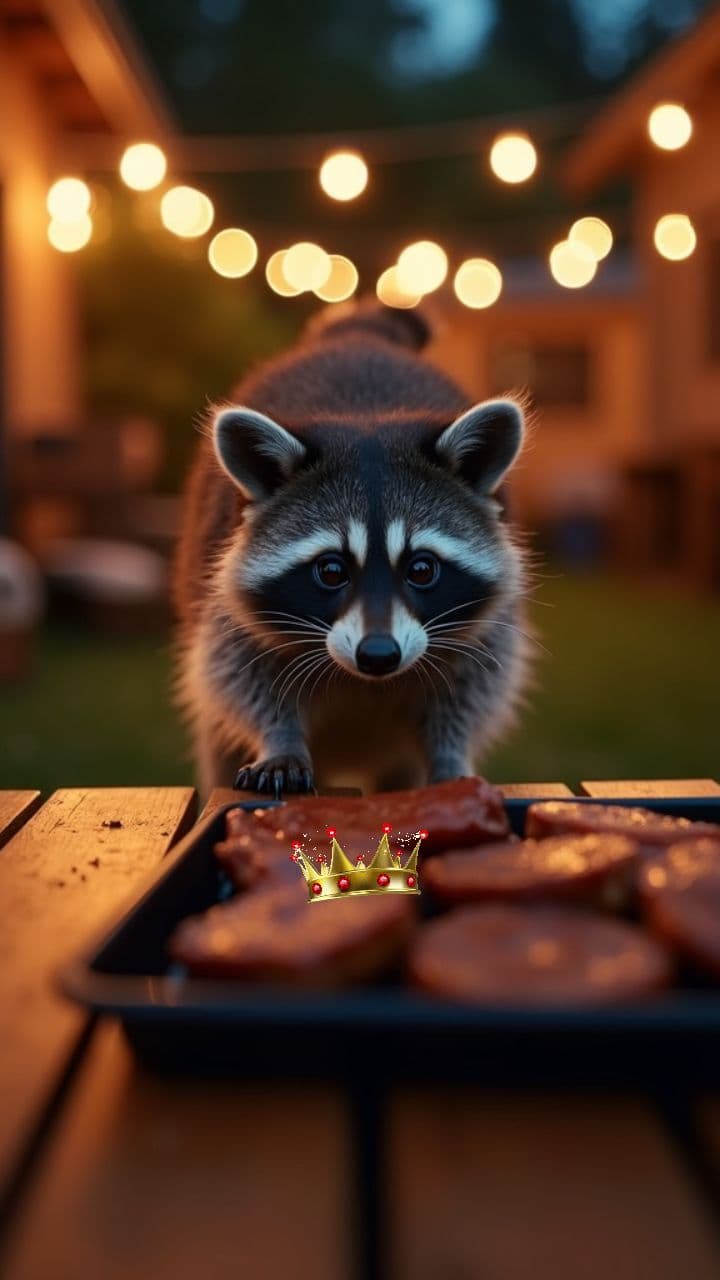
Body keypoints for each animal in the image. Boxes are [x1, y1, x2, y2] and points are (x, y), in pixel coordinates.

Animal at [174, 301, 530, 798]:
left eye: (422, 569)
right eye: (331, 571)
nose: (378, 655)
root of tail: (358, 336)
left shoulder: (488, 624)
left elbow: (474, 684)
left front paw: (450, 751)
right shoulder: (223, 602)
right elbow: (239, 673)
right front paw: (279, 739)